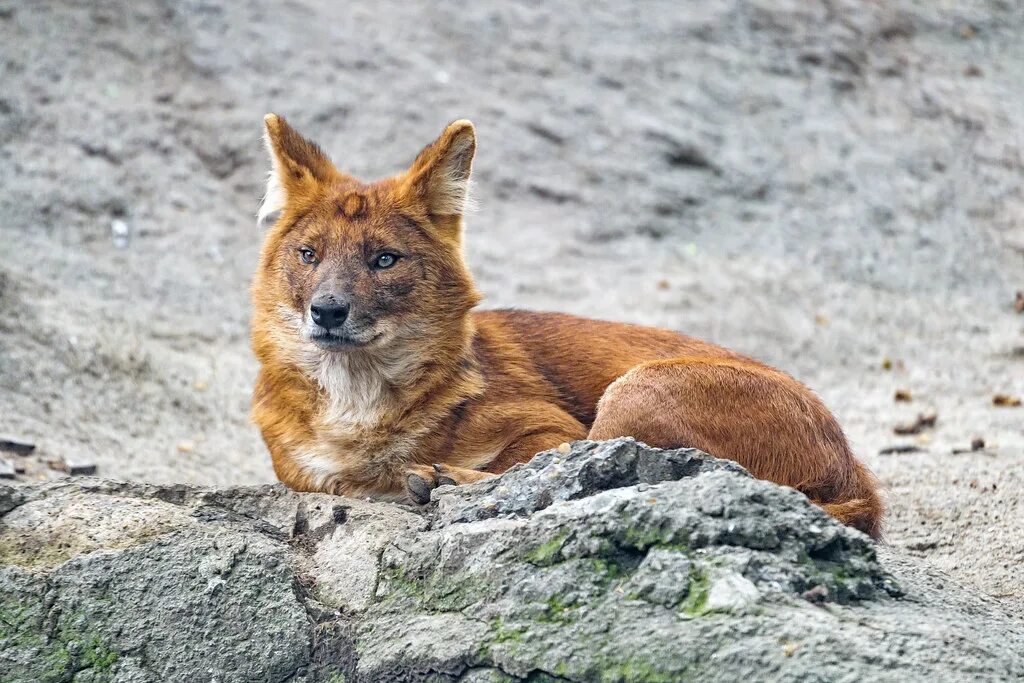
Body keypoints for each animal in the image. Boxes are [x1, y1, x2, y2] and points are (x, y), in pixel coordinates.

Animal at [247, 116, 880, 540]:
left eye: (384, 259)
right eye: (308, 254)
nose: (327, 310)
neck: (357, 408)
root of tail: (855, 468)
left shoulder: (551, 427)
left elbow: (532, 464)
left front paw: (438, 472)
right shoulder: (304, 474)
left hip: (642, 388)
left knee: (610, 475)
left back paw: (437, 479)